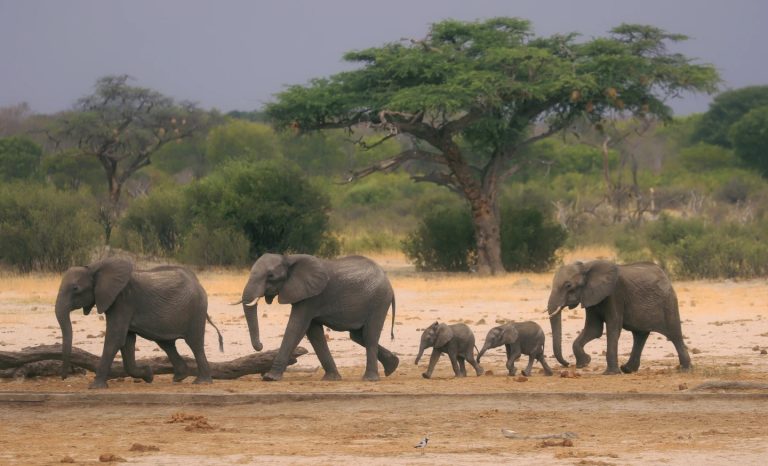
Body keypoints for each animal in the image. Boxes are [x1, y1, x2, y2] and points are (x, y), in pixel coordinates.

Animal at [53, 258, 222, 390]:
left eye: (75, 288)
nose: (64, 377)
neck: (95, 268)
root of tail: (198, 283)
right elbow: (126, 342)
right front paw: (148, 374)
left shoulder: (123, 301)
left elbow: (115, 339)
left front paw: (95, 387)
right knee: (166, 343)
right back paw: (179, 377)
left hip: (196, 310)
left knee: (194, 344)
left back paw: (202, 382)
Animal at [240, 255, 400, 382]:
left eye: (271, 276)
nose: (260, 345)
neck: (289, 259)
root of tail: (389, 282)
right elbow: (314, 333)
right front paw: (331, 378)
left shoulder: (311, 298)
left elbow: (296, 327)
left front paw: (270, 378)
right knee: (357, 336)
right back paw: (392, 366)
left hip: (379, 301)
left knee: (369, 336)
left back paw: (370, 379)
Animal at [544, 260, 688, 376]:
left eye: (568, 286)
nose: (567, 364)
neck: (586, 266)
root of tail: (665, 275)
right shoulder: (591, 296)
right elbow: (593, 329)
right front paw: (584, 363)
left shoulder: (615, 294)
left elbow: (613, 327)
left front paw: (610, 373)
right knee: (639, 335)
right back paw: (627, 369)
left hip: (668, 301)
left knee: (674, 334)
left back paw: (686, 369)